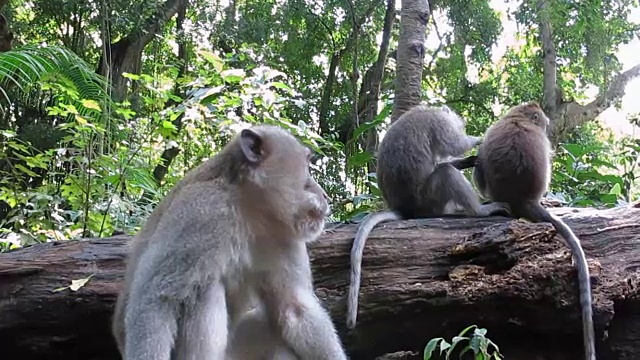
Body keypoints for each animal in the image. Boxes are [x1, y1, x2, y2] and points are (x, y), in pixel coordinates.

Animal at [112, 124, 348, 360]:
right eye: (307, 165)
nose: (325, 195)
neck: (250, 208)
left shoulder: (284, 236)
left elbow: (295, 308)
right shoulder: (201, 211)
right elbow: (157, 297)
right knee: (203, 287)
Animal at [344, 104, 510, 330]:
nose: (462, 126)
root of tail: (403, 208)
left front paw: (467, 160)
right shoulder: (439, 123)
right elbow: (454, 145)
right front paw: (479, 139)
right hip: (429, 199)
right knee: (446, 174)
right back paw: (479, 210)